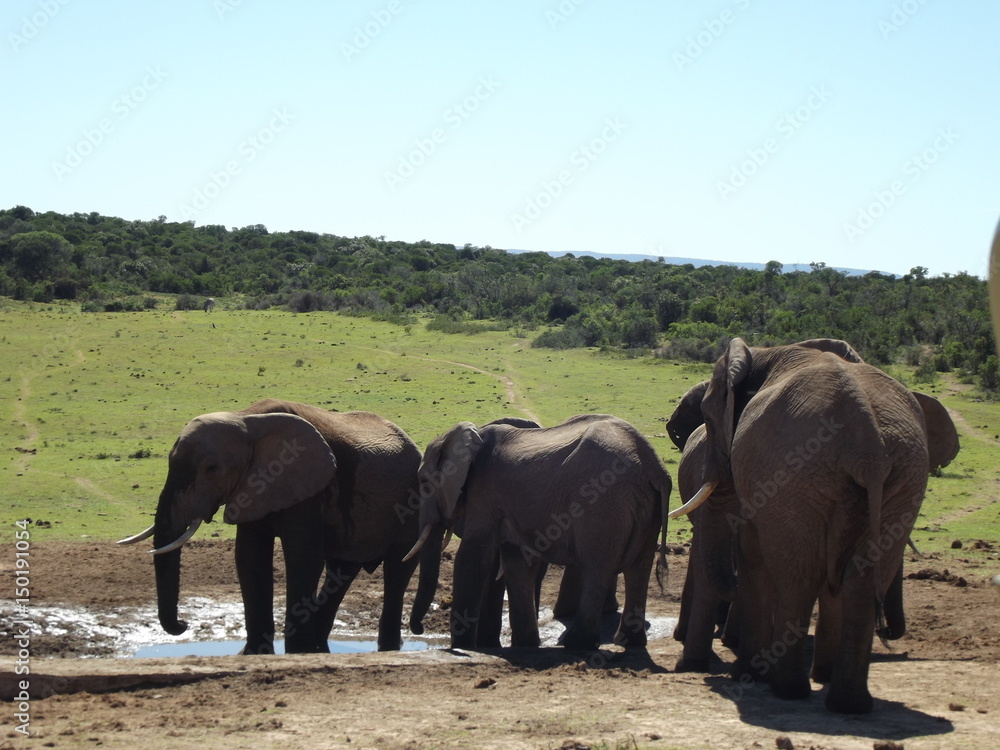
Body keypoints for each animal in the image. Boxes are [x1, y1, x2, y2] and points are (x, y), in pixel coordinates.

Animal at [119, 402, 440, 656]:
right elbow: (249, 560)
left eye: (211, 468)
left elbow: (303, 558)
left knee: (396, 570)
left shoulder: (308, 486)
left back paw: (384, 648)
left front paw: (295, 652)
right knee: (341, 571)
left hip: (411, 503)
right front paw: (253, 654)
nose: (183, 625)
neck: (246, 420)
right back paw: (318, 645)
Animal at [406, 414, 672, 656]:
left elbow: (473, 558)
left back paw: (577, 644)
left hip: (603, 505)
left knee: (596, 567)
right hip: (644, 510)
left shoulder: (484, 493)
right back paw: (629, 641)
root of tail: (654, 468)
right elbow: (515, 561)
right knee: (639, 568)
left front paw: (462, 647)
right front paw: (524, 644)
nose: (418, 629)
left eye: (424, 481)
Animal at [668, 340, 956, 716]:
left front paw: (749, 673)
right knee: (850, 579)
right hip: (896, 477)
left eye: (708, 415)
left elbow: (754, 556)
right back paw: (844, 702)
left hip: (814, 476)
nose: (893, 633)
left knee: (801, 577)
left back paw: (788, 688)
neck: (766, 351)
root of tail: (869, 445)